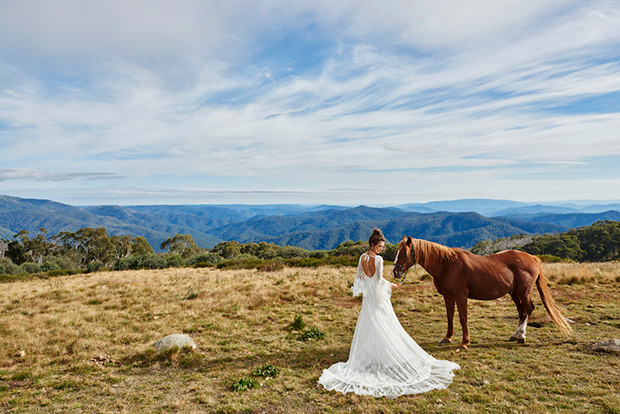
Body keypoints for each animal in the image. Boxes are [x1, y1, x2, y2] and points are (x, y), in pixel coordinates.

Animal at [392, 236, 572, 350]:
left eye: (404, 253)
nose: (395, 272)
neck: (447, 265)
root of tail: (532, 257)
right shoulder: (448, 296)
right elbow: (450, 316)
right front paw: (447, 338)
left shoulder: (461, 296)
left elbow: (463, 318)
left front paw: (465, 342)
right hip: (514, 293)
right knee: (522, 312)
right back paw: (515, 335)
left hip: (523, 292)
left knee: (528, 309)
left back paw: (521, 336)